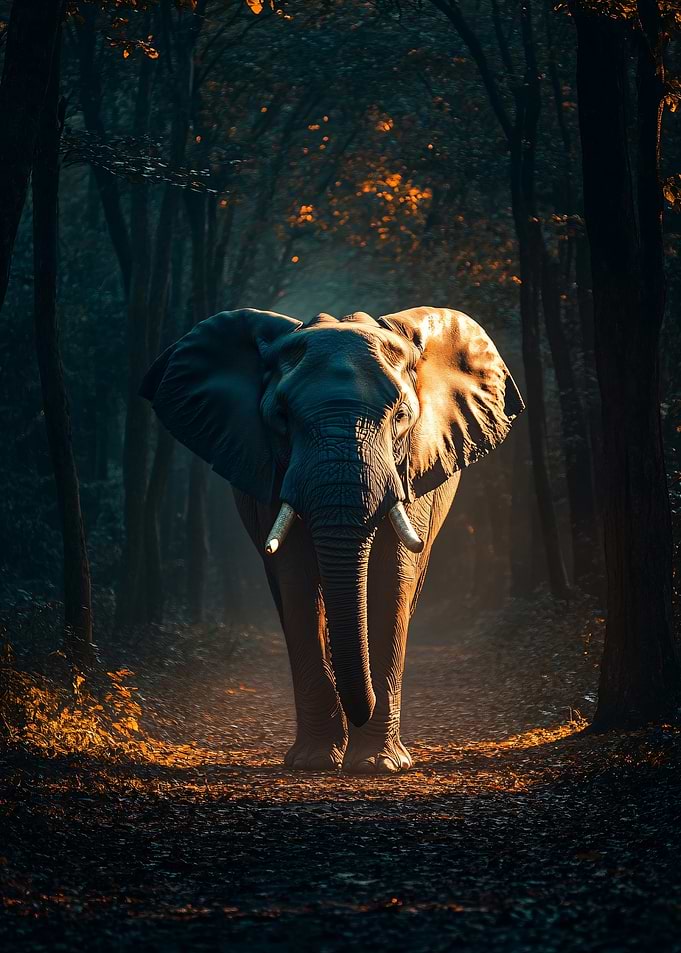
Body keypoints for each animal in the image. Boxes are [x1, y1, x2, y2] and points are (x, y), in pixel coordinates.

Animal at [141, 306, 524, 774]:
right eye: (281, 418)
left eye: (401, 416)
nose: (361, 707)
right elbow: (297, 582)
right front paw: (314, 762)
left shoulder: (410, 473)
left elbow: (392, 580)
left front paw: (377, 765)